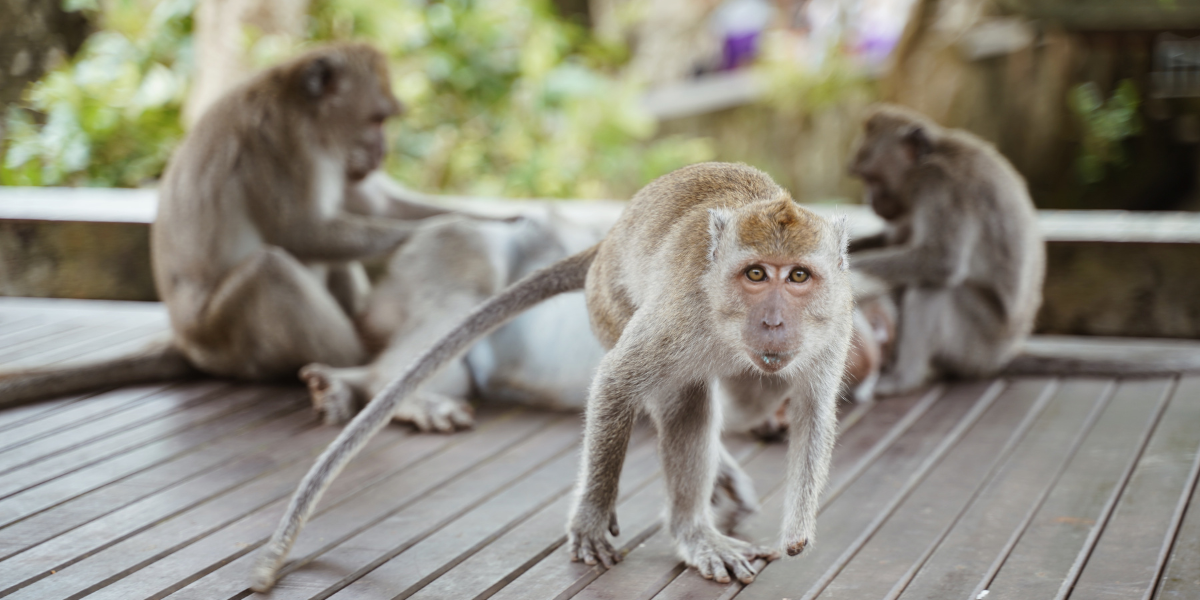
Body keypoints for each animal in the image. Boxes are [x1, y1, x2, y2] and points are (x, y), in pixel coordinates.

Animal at [0, 43, 476, 409]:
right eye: (377, 119)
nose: (382, 151)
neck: (303, 108)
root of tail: (187, 343)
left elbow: (380, 205)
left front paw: (482, 220)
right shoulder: (284, 142)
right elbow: (299, 231)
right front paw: (443, 232)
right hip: (226, 339)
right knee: (270, 269)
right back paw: (362, 368)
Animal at [847, 103, 1046, 396]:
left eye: (872, 178)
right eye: (863, 178)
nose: (868, 200)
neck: (931, 157)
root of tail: (1005, 353)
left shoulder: (939, 185)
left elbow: (941, 260)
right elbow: (893, 242)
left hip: (977, 344)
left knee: (931, 286)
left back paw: (903, 378)